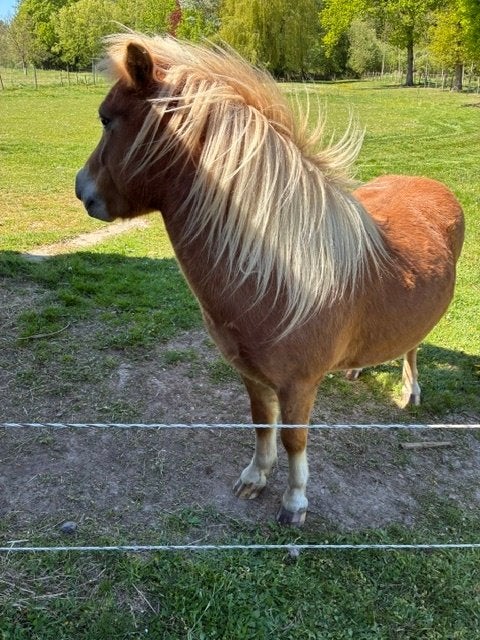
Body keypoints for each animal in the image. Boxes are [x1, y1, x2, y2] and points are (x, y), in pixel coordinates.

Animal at [75, 33, 464, 525]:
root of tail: (434, 186)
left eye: (107, 119)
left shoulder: (299, 385)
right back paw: (357, 368)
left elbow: (294, 438)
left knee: (412, 348)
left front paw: (295, 501)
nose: (81, 189)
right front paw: (255, 477)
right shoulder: (253, 375)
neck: (284, 274)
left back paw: (410, 390)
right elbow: (262, 423)